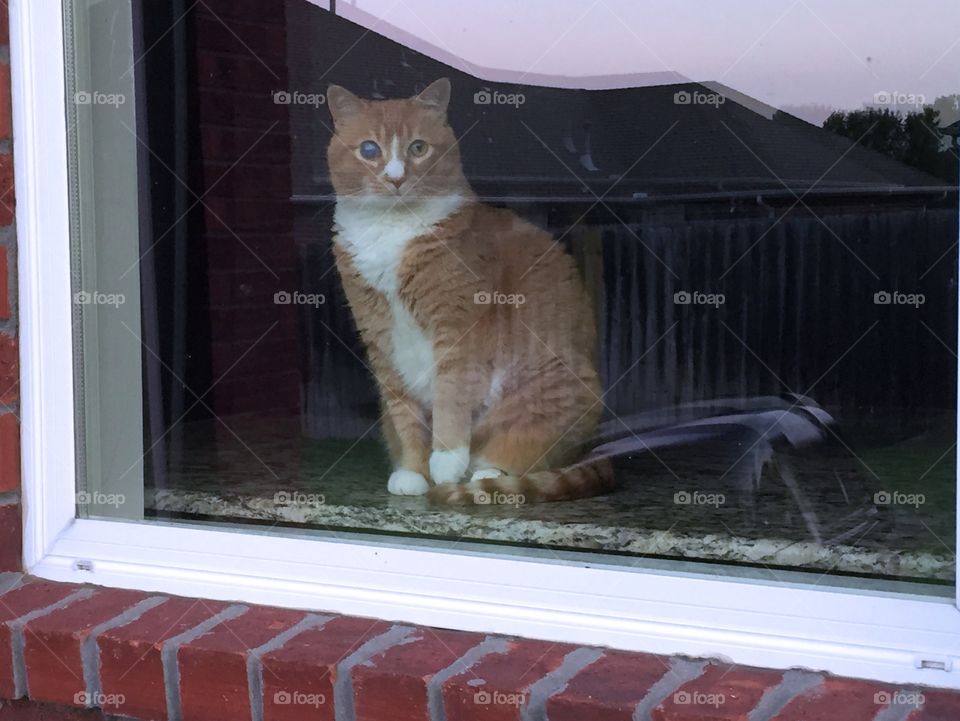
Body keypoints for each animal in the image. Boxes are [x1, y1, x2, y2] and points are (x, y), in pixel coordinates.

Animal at [328, 74, 616, 500]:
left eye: (418, 148)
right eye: (368, 149)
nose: (396, 178)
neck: (393, 230)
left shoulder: (458, 327)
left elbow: (450, 395)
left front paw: (445, 460)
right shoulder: (380, 337)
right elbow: (403, 413)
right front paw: (413, 471)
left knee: (519, 452)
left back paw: (485, 475)